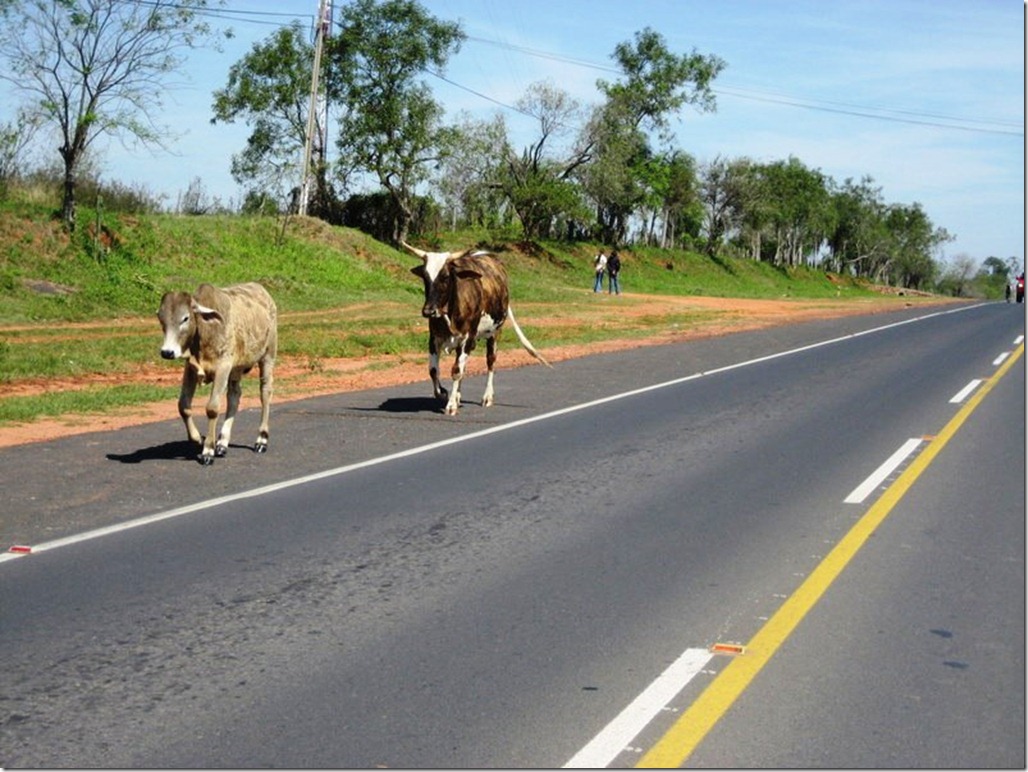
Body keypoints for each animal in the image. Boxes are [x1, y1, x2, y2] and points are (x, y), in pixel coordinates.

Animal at [156, 283, 277, 464]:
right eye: (161, 318)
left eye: (185, 318)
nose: (167, 352)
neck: (205, 331)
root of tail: (262, 290)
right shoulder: (190, 369)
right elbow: (183, 405)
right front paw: (197, 438)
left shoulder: (223, 367)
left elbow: (212, 408)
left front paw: (208, 450)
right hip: (236, 369)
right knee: (234, 396)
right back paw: (222, 442)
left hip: (268, 356)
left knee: (265, 393)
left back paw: (261, 439)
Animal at [398, 242, 551, 417]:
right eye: (425, 276)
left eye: (445, 276)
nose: (428, 311)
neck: (450, 312)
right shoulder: (434, 338)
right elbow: (434, 370)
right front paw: (443, 393)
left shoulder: (467, 337)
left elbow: (457, 370)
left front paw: (451, 405)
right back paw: (457, 395)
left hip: (495, 333)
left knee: (490, 362)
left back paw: (487, 397)